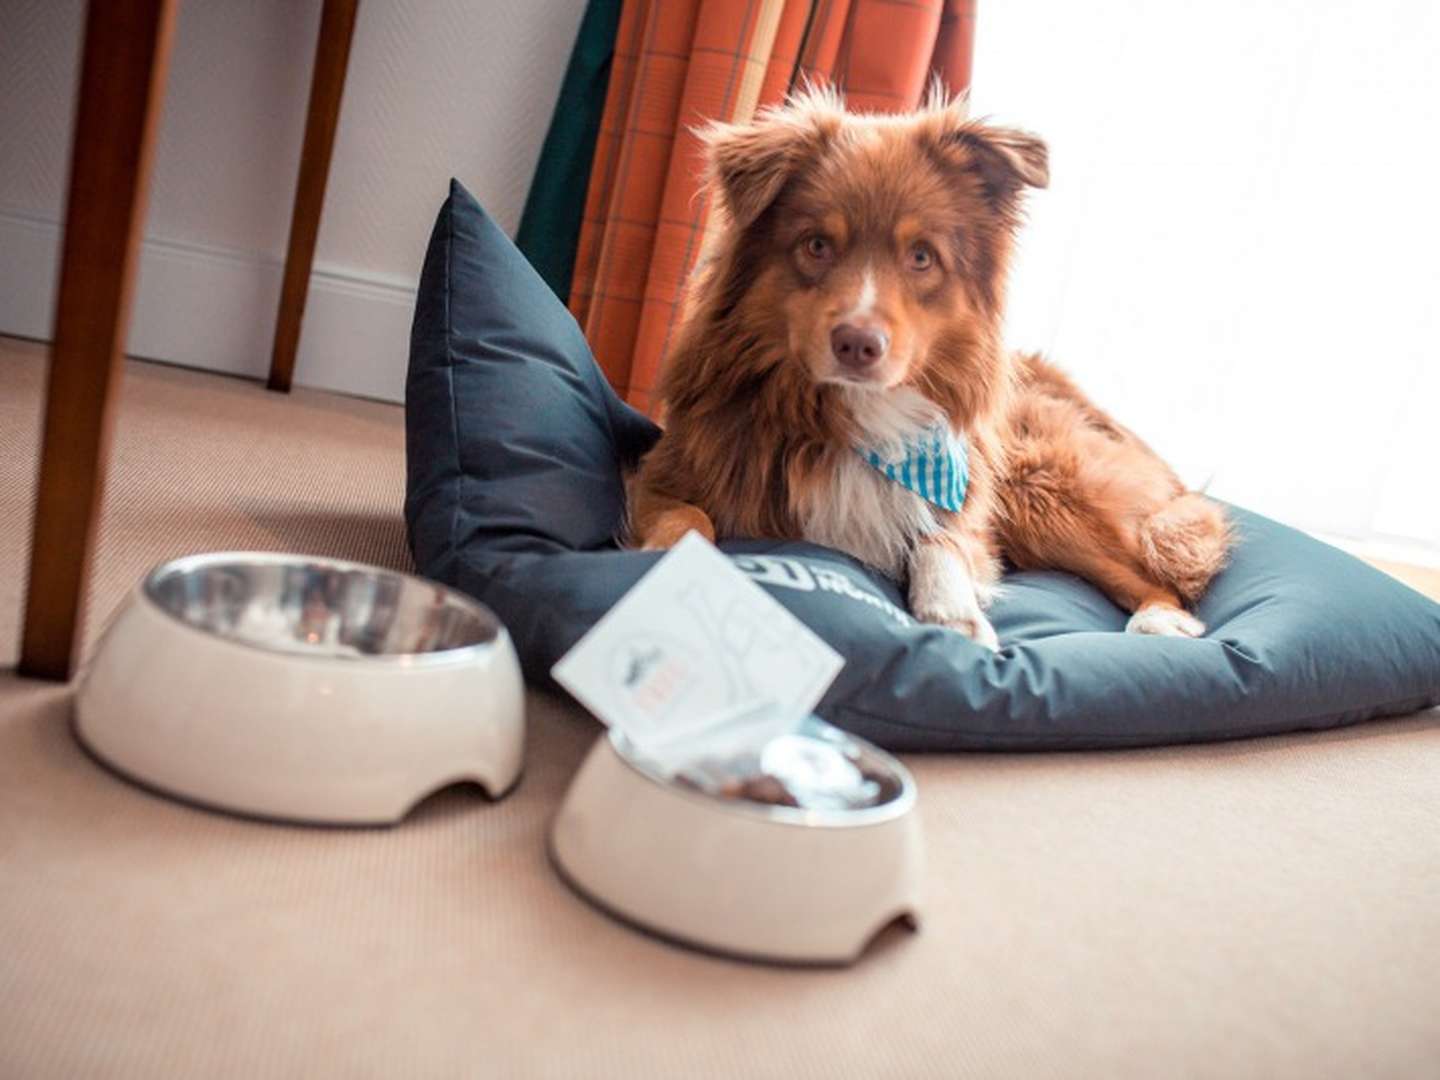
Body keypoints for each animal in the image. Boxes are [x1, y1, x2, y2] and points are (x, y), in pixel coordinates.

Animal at [627, 88, 1226, 648]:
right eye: (816, 245)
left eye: (921, 256)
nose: (857, 344)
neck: (854, 417)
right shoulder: (664, 473)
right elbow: (688, 519)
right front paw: (662, 564)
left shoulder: (967, 506)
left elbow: (942, 541)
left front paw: (953, 616)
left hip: (1038, 486)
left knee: (1154, 577)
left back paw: (1163, 619)